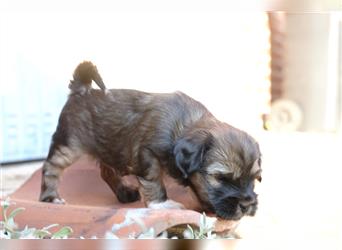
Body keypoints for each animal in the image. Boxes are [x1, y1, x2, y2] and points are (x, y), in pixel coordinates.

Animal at [39, 61, 262, 220]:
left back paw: (124, 193)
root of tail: (82, 90)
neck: (183, 126)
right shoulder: (146, 154)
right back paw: (50, 197)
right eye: (221, 178)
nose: (247, 205)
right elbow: (153, 180)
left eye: (255, 178)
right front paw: (162, 204)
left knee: (106, 171)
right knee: (51, 167)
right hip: (69, 144)